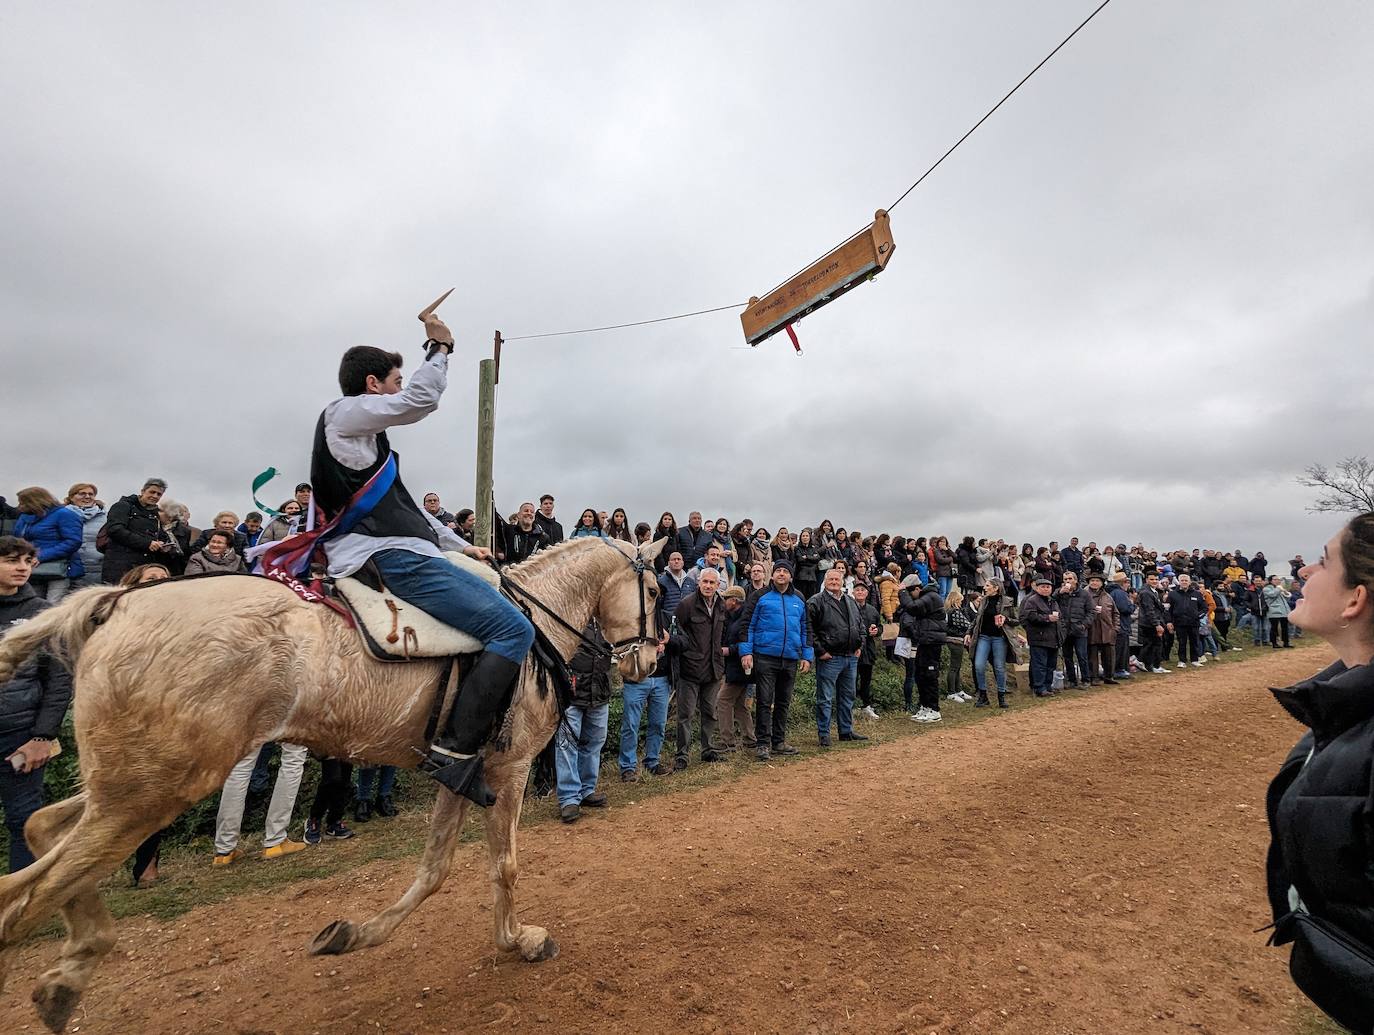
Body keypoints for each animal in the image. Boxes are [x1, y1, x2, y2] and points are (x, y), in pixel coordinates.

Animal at [0, 536, 665, 1028]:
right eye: (657, 589)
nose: (651, 660)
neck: (535, 621)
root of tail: (120, 601)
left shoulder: (460, 770)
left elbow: (434, 869)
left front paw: (353, 935)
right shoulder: (510, 768)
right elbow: (502, 866)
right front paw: (520, 940)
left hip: (131, 784)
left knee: (40, 831)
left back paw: (71, 967)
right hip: (156, 789)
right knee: (27, 900)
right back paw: (71, 967)